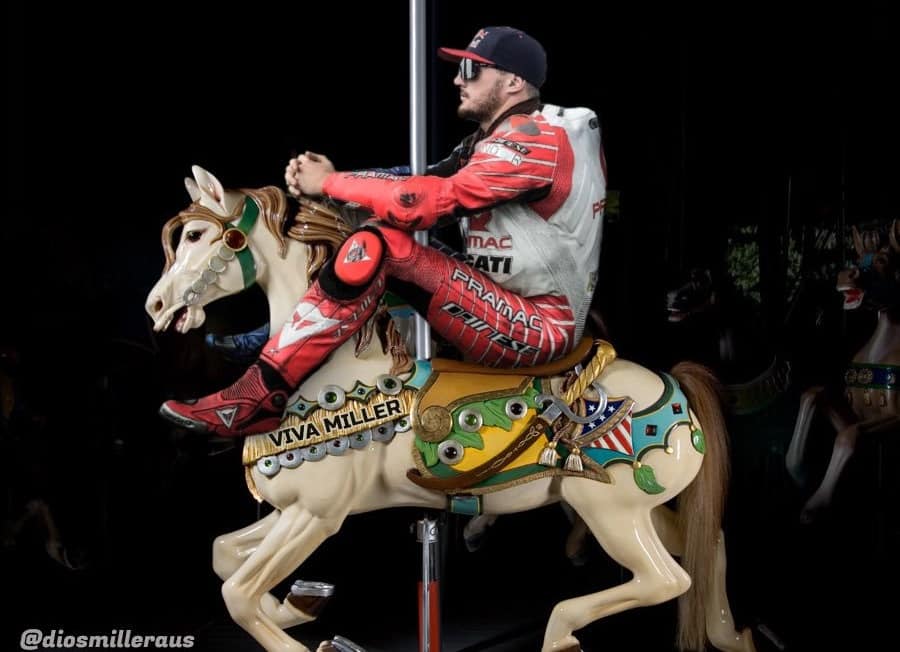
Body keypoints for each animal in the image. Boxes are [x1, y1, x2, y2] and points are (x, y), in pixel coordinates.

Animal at [145, 166, 756, 652]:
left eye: (197, 234)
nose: (156, 304)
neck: (333, 378)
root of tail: (674, 385)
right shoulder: (296, 508)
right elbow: (225, 555)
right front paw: (301, 601)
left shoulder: (317, 514)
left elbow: (238, 593)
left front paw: (317, 640)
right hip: (643, 507)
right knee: (709, 547)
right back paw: (734, 635)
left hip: (611, 510)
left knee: (666, 580)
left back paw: (561, 633)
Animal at [786, 222, 900, 521]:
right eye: (859, 260)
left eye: (884, 259)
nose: (846, 274)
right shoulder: (858, 414)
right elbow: (814, 395)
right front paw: (799, 472)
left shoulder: (896, 416)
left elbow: (848, 436)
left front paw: (816, 504)